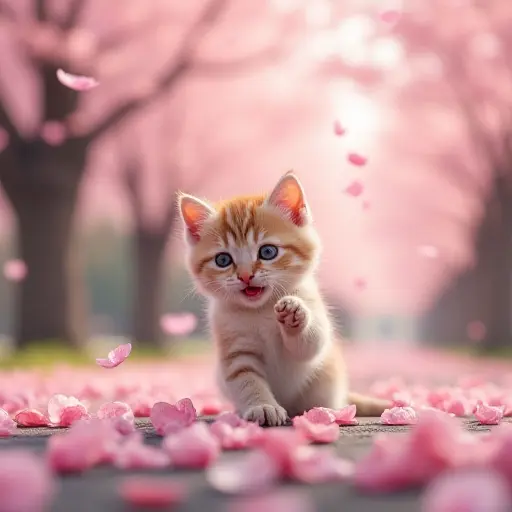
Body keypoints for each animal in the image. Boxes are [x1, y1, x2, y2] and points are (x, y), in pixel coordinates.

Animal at [177, 173, 388, 428]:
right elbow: (246, 378)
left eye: (267, 252)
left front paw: (294, 314)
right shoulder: (234, 350)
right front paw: (262, 406)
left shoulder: (312, 313)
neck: (261, 309)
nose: (245, 276)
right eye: (223, 260)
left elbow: (310, 344)